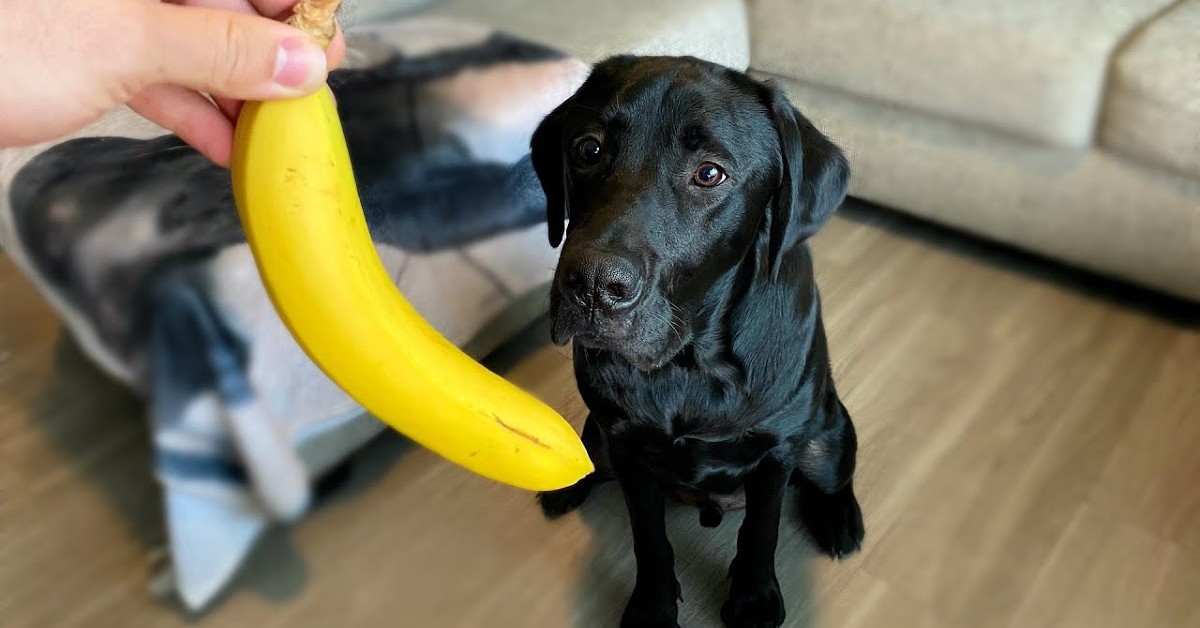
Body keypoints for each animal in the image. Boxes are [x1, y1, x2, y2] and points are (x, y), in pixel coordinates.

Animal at [532, 55, 864, 628]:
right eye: (588, 148)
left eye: (710, 173)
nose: (593, 285)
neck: (690, 364)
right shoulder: (625, 444)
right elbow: (649, 538)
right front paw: (652, 606)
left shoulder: (776, 451)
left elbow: (761, 531)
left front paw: (754, 601)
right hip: (599, 438)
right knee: (588, 453)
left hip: (827, 439)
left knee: (833, 476)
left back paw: (841, 518)